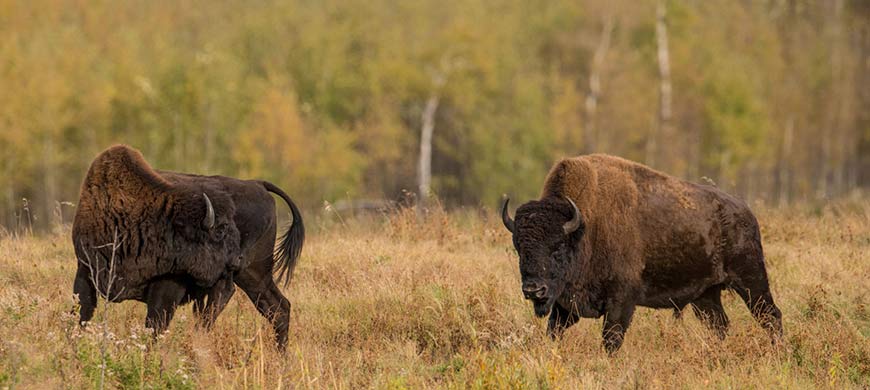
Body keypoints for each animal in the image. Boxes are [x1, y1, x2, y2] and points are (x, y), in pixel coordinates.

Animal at [75, 145, 306, 348]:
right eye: (220, 230)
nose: (238, 258)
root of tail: (257, 184)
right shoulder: (85, 269)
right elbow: (82, 312)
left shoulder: (168, 284)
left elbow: (155, 325)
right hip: (253, 277)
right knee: (277, 308)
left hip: (249, 274)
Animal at [504, 155, 784, 354]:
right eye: (519, 248)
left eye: (558, 247)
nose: (533, 290)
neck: (584, 227)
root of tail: (746, 212)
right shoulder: (564, 306)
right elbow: (554, 331)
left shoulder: (621, 301)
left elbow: (611, 339)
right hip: (706, 295)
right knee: (720, 325)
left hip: (751, 280)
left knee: (770, 316)